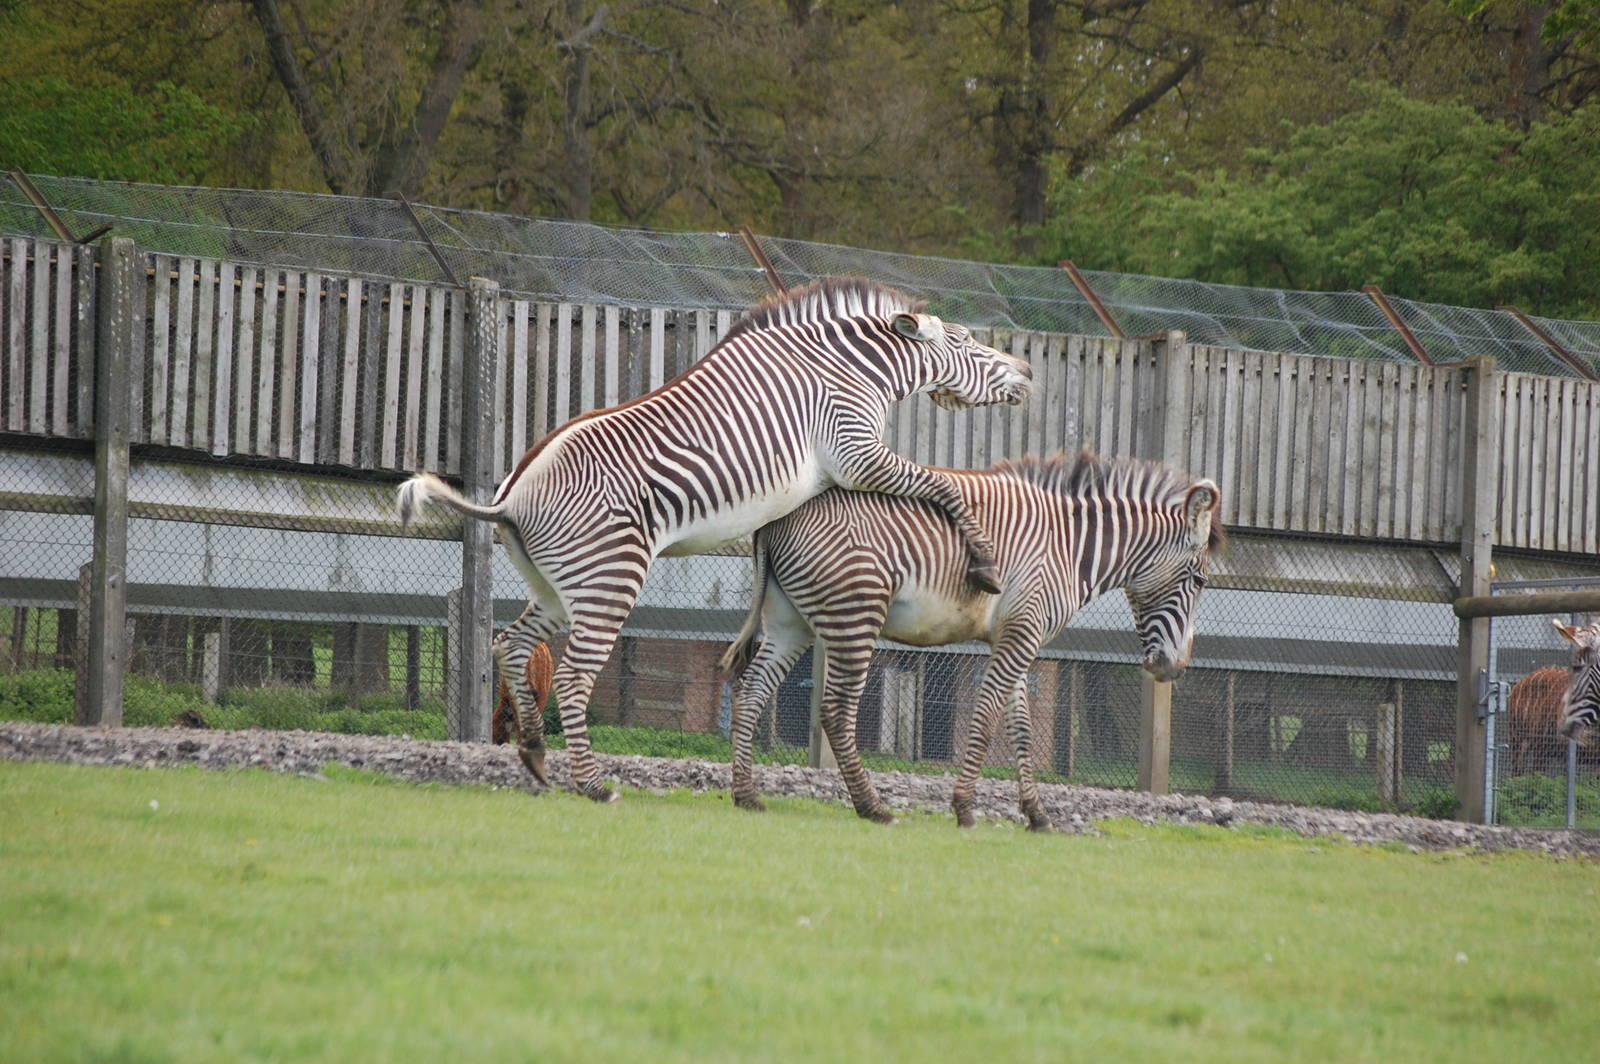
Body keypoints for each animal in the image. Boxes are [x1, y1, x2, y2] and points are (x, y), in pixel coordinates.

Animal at [398, 278, 1032, 801]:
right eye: (966, 342)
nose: (1027, 373)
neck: (848, 369)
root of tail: (508, 494)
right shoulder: (856, 453)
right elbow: (939, 485)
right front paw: (983, 561)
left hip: (559, 586)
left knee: (512, 644)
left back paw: (533, 751)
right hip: (610, 576)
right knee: (574, 674)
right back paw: (594, 785)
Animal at [721, 448, 1223, 830]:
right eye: (1199, 581)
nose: (1173, 668)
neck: (1069, 548)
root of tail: (776, 518)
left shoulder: (1016, 637)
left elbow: (1021, 729)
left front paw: (1037, 815)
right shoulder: (1021, 634)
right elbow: (984, 719)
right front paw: (964, 808)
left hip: (790, 622)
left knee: (752, 690)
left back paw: (747, 795)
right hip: (854, 615)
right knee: (835, 710)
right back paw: (872, 806)